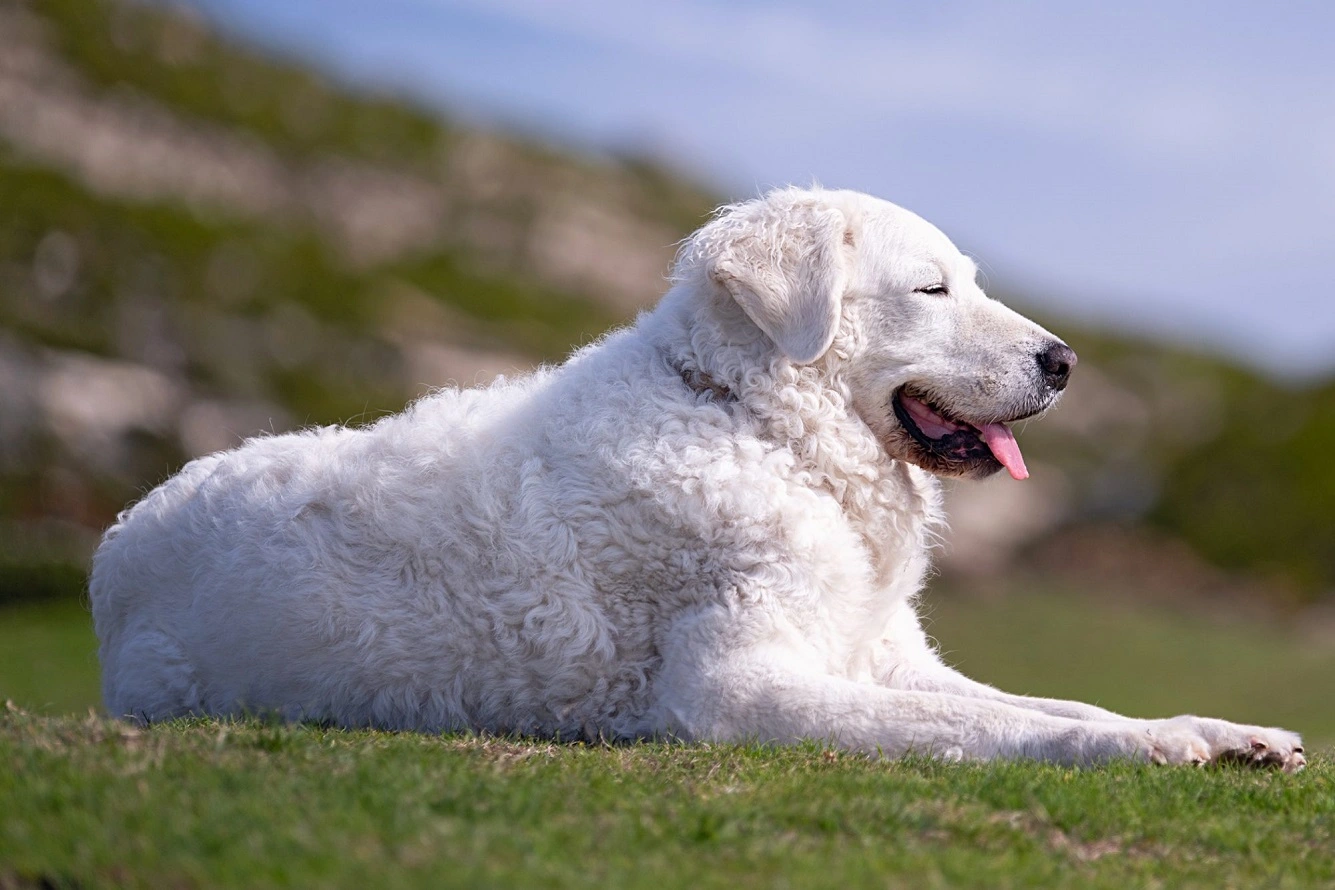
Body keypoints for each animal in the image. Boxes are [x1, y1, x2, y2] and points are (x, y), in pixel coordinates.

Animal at [91, 188, 1302, 773]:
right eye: (932, 289)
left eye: (970, 281)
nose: (1065, 361)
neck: (757, 426)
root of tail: (116, 535)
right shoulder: (738, 689)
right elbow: (998, 730)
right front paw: (1151, 745)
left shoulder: (879, 652)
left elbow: (1047, 700)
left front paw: (1221, 730)